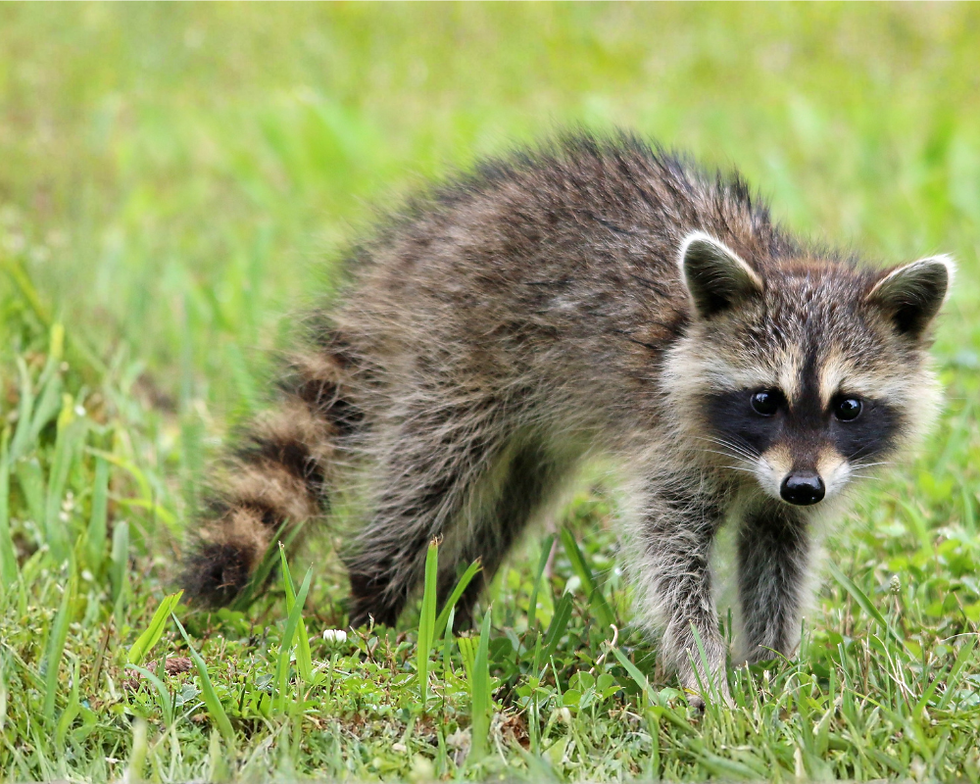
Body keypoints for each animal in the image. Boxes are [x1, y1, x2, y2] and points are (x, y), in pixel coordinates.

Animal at [181, 132, 952, 703]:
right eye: (766, 399)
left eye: (847, 407)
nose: (803, 488)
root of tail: (429, 236)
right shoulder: (669, 444)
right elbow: (671, 557)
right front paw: (707, 675)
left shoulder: (791, 486)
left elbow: (778, 555)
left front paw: (771, 669)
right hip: (457, 350)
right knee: (428, 477)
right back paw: (375, 601)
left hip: (534, 423)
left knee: (510, 504)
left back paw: (455, 602)